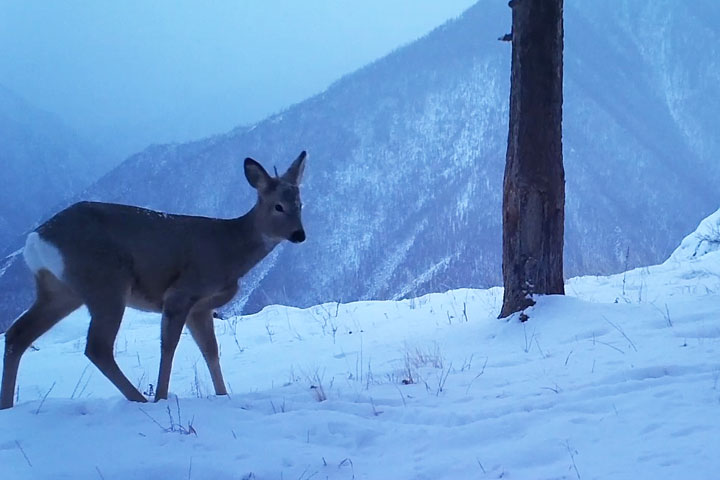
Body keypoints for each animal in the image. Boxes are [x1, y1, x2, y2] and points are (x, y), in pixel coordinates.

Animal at [0, 151, 306, 408]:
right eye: (278, 206)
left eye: (300, 204)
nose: (299, 235)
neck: (229, 250)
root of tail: (36, 239)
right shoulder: (182, 292)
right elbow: (169, 347)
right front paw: (161, 397)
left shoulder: (201, 307)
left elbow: (211, 351)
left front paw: (223, 395)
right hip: (106, 282)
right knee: (97, 347)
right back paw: (139, 400)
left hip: (59, 290)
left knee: (18, 334)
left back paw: (7, 405)